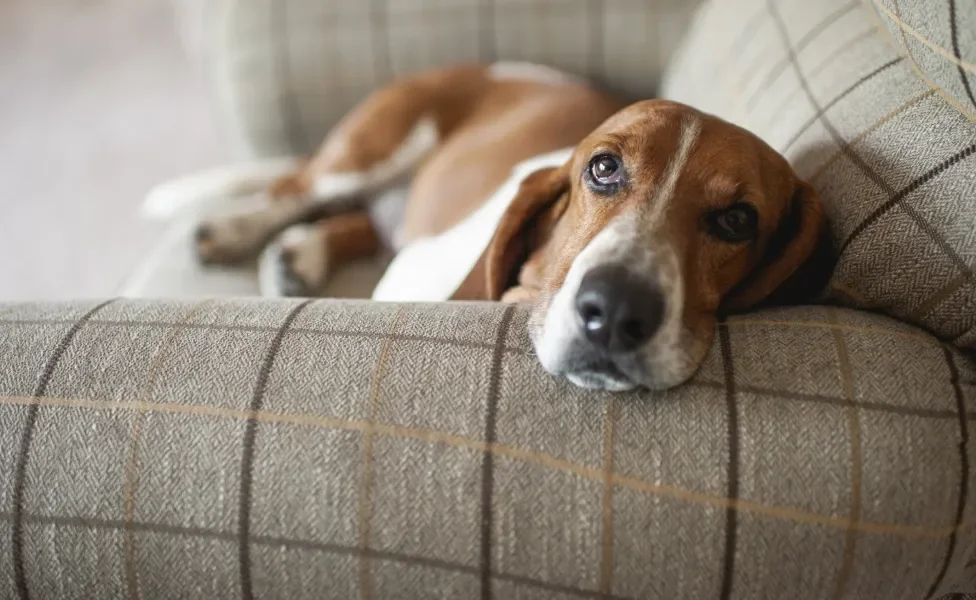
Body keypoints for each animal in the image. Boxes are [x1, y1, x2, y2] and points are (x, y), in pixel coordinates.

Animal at [151, 63, 824, 392]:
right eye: (604, 168)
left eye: (737, 220)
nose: (614, 311)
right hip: (371, 147)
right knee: (292, 190)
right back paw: (236, 230)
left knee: (356, 221)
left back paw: (303, 255)